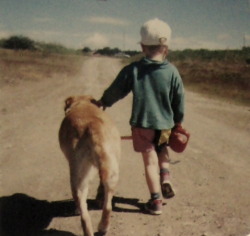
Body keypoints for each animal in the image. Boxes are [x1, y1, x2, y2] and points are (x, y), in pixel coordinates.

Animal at [58, 95, 121, 235]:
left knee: (83, 213)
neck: (82, 103)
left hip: (77, 179)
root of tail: (91, 126)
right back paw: (103, 227)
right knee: (106, 207)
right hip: (112, 173)